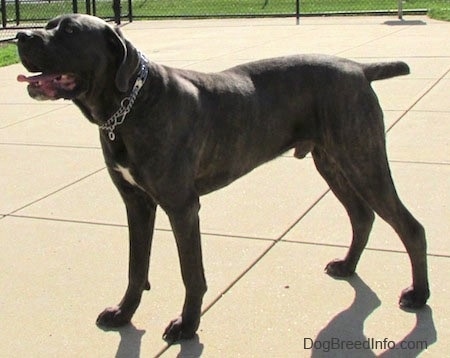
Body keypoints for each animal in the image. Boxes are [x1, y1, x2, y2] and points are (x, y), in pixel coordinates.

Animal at [15, 14, 430, 342]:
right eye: (50, 24)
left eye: (70, 31)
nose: (20, 37)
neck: (128, 106)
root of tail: (360, 69)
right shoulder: (136, 203)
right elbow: (136, 267)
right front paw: (124, 313)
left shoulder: (182, 207)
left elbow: (191, 273)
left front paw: (187, 326)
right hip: (332, 162)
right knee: (362, 215)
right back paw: (347, 265)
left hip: (362, 160)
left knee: (410, 226)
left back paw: (419, 295)